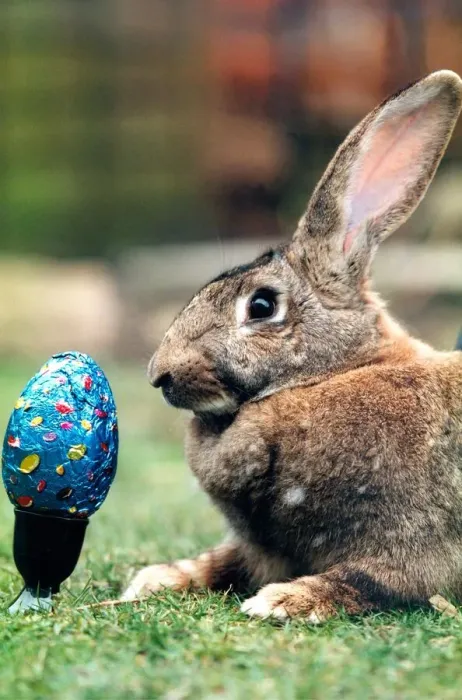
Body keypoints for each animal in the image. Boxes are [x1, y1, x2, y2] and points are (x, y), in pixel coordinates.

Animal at [122, 71, 462, 623]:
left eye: (261, 306)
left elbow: (367, 580)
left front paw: (283, 601)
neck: (335, 374)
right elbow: (220, 561)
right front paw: (155, 580)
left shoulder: (415, 546)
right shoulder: (256, 549)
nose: (160, 373)